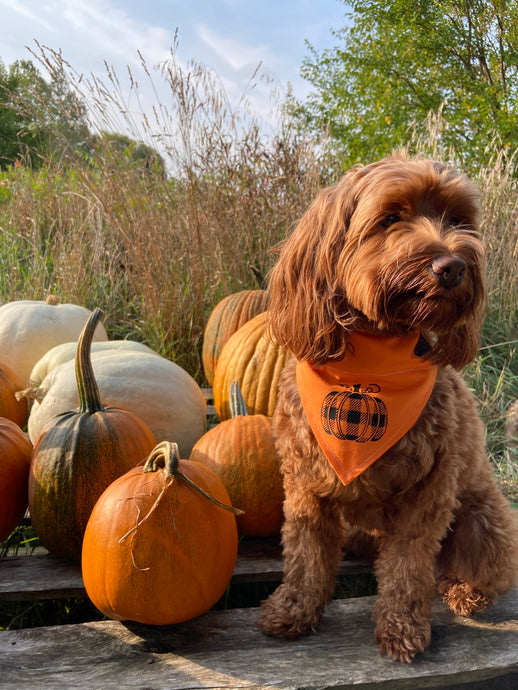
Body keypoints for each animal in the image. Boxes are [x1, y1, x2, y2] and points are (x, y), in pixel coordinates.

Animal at [256, 152, 518, 660]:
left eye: (458, 220)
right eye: (391, 217)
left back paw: (462, 591)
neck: (374, 350)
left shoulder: (428, 494)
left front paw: (401, 628)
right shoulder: (305, 485)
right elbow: (306, 555)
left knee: (475, 572)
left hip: (484, 522)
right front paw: (293, 610)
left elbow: (407, 568)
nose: (452, 265)